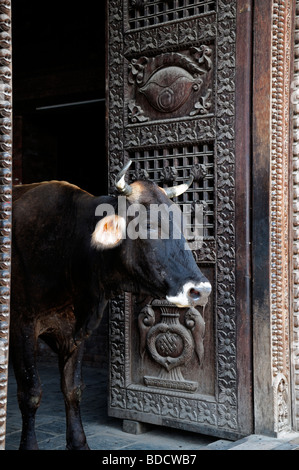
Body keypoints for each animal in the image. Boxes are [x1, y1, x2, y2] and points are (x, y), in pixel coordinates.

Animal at [10, 161, 212, 448]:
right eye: (148, 225)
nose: (201, 290)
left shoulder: (76, 331)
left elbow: (72, 388)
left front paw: (79, 442)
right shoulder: (22, 325)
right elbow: (30, 393)